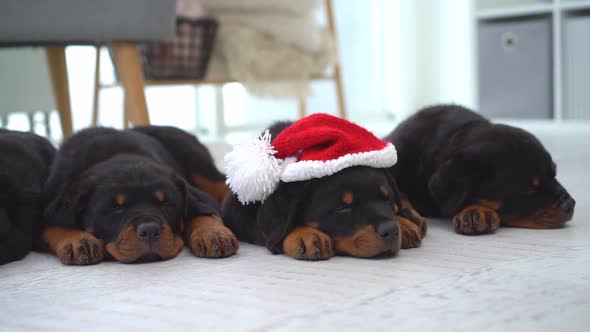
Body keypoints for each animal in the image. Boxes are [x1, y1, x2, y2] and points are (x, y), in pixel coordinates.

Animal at [41, 126, 238, 266]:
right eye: (115, 207)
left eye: (166, 204)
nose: (150, 231)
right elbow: (52, 226)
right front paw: (77, 240)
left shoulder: (198, 196)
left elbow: (202, 211)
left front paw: (213, 234)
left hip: (194, 159)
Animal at [224, 115, 428, 260]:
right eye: (342, 207)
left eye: (387, 199)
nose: (391, 230)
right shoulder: (237, 210)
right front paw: (305, 234)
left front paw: (403, 223)